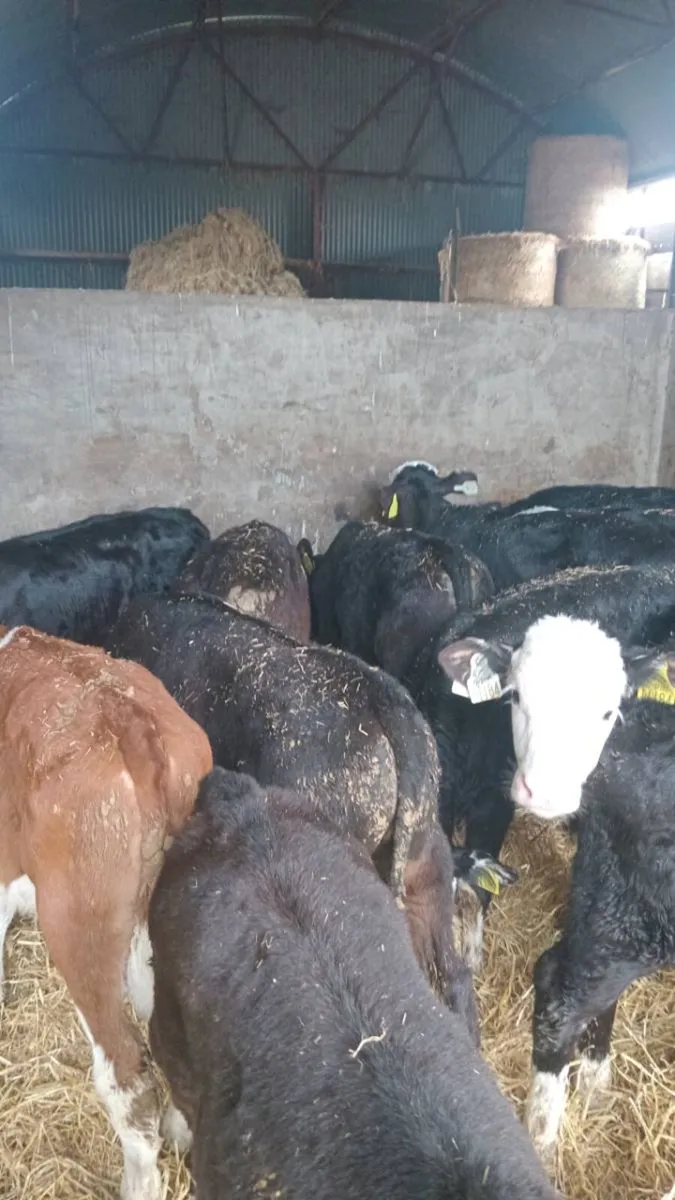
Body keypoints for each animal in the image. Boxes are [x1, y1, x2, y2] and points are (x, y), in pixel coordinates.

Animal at [438, 612, 675, 1158]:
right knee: (560, 991)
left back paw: (595, 1086)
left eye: (608, 711)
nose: (545, 790)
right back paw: (544, 1132)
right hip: (636, 911)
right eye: (515, 698)